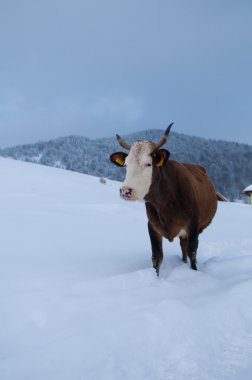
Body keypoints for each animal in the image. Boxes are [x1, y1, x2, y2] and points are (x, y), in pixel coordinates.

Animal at [110, 124, 219, 276]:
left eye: (148, 164)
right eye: (125, 165)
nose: (125, 191)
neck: (166, 203)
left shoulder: (193, 226)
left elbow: (192, 253)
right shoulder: (152, 226)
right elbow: (157, 258)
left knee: (186, 249)